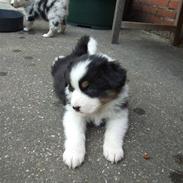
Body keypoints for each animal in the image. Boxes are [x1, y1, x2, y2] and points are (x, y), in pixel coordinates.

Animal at [51, 35, 129, 169]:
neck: (100, 107)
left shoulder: (119, 113)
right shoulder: (73, 115)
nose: (75, 107)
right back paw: (57, 58)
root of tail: (78, 53)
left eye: (90, 88)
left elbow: (114, 132)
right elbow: (76, 134)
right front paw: (73, 155)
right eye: (71, 88)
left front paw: (113, 151)